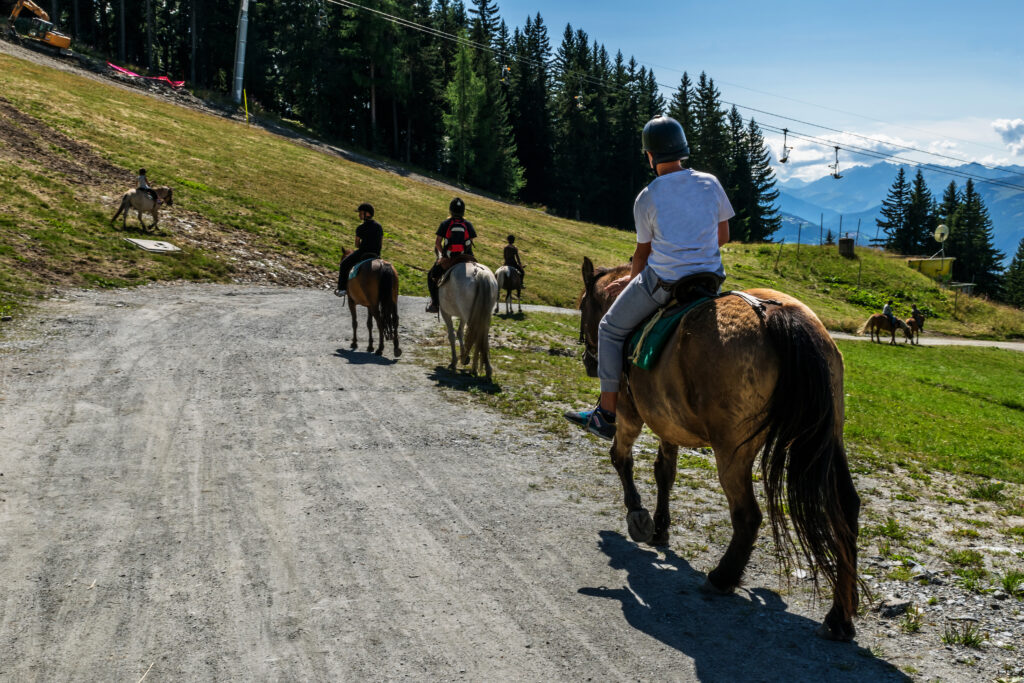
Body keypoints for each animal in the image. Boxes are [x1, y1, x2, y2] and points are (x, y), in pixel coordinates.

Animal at [581, 259, 860, 643]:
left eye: (582, 307)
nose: (588, 362)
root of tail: (777, 315)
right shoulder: (668, 422)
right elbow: (664, 472)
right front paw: (660, 529)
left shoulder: (629, 412)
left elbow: (622, 459)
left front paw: (638, 516)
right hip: (827, 439)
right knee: (845, 510)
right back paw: (840, 616)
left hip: (732, 449)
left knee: (748, 515)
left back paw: (722, 577)